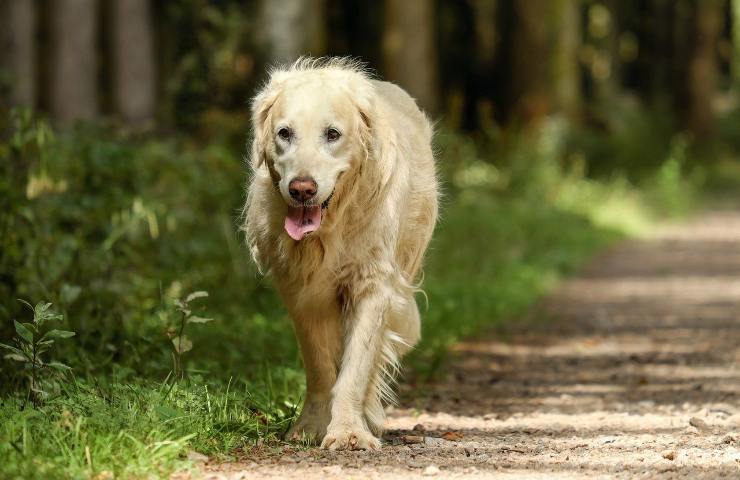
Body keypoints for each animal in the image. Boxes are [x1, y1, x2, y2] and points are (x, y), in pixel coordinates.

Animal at [243, 57, 440, 450]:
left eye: (332, 134)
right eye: (284, 133)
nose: (302, 189)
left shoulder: (374, 285)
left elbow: (357, 366)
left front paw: (349, 430)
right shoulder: (301, 292)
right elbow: (320, 365)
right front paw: (312, 426)